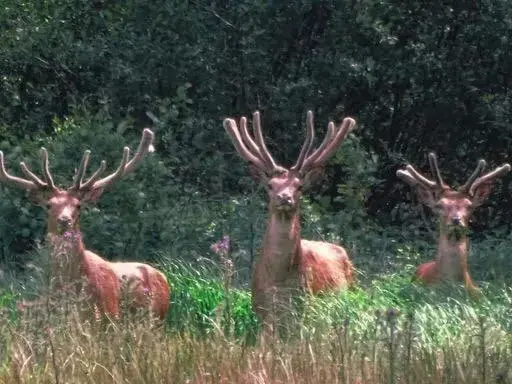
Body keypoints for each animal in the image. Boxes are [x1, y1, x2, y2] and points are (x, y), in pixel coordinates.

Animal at [0, 127, 172, 320]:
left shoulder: (109, 315)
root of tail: (164, 278)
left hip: (157, 318)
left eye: (78, 205)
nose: (64, 220)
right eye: (49, 205)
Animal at [224, 110, 356, 328]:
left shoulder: (305, 311)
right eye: (270, 185)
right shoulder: (262, 312)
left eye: (299, 186)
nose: (284, 197)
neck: (279, 284)